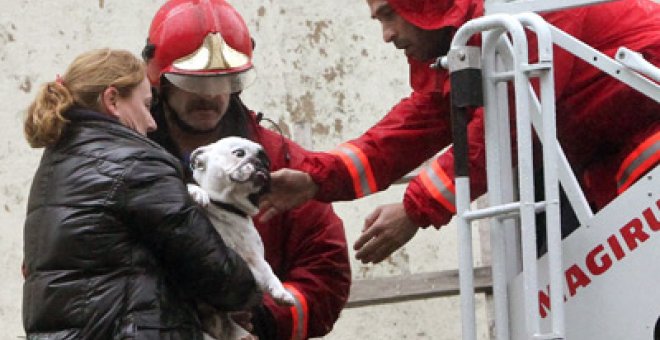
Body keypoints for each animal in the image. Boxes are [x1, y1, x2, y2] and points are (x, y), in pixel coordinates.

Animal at [188, 137, 296, 338]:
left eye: (267, 163)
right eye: (239, 153)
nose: (261, 164)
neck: (228, 208)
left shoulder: (254, 258)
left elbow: (269, 271)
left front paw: (281, 293)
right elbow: (190, 187)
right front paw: (197, 192)